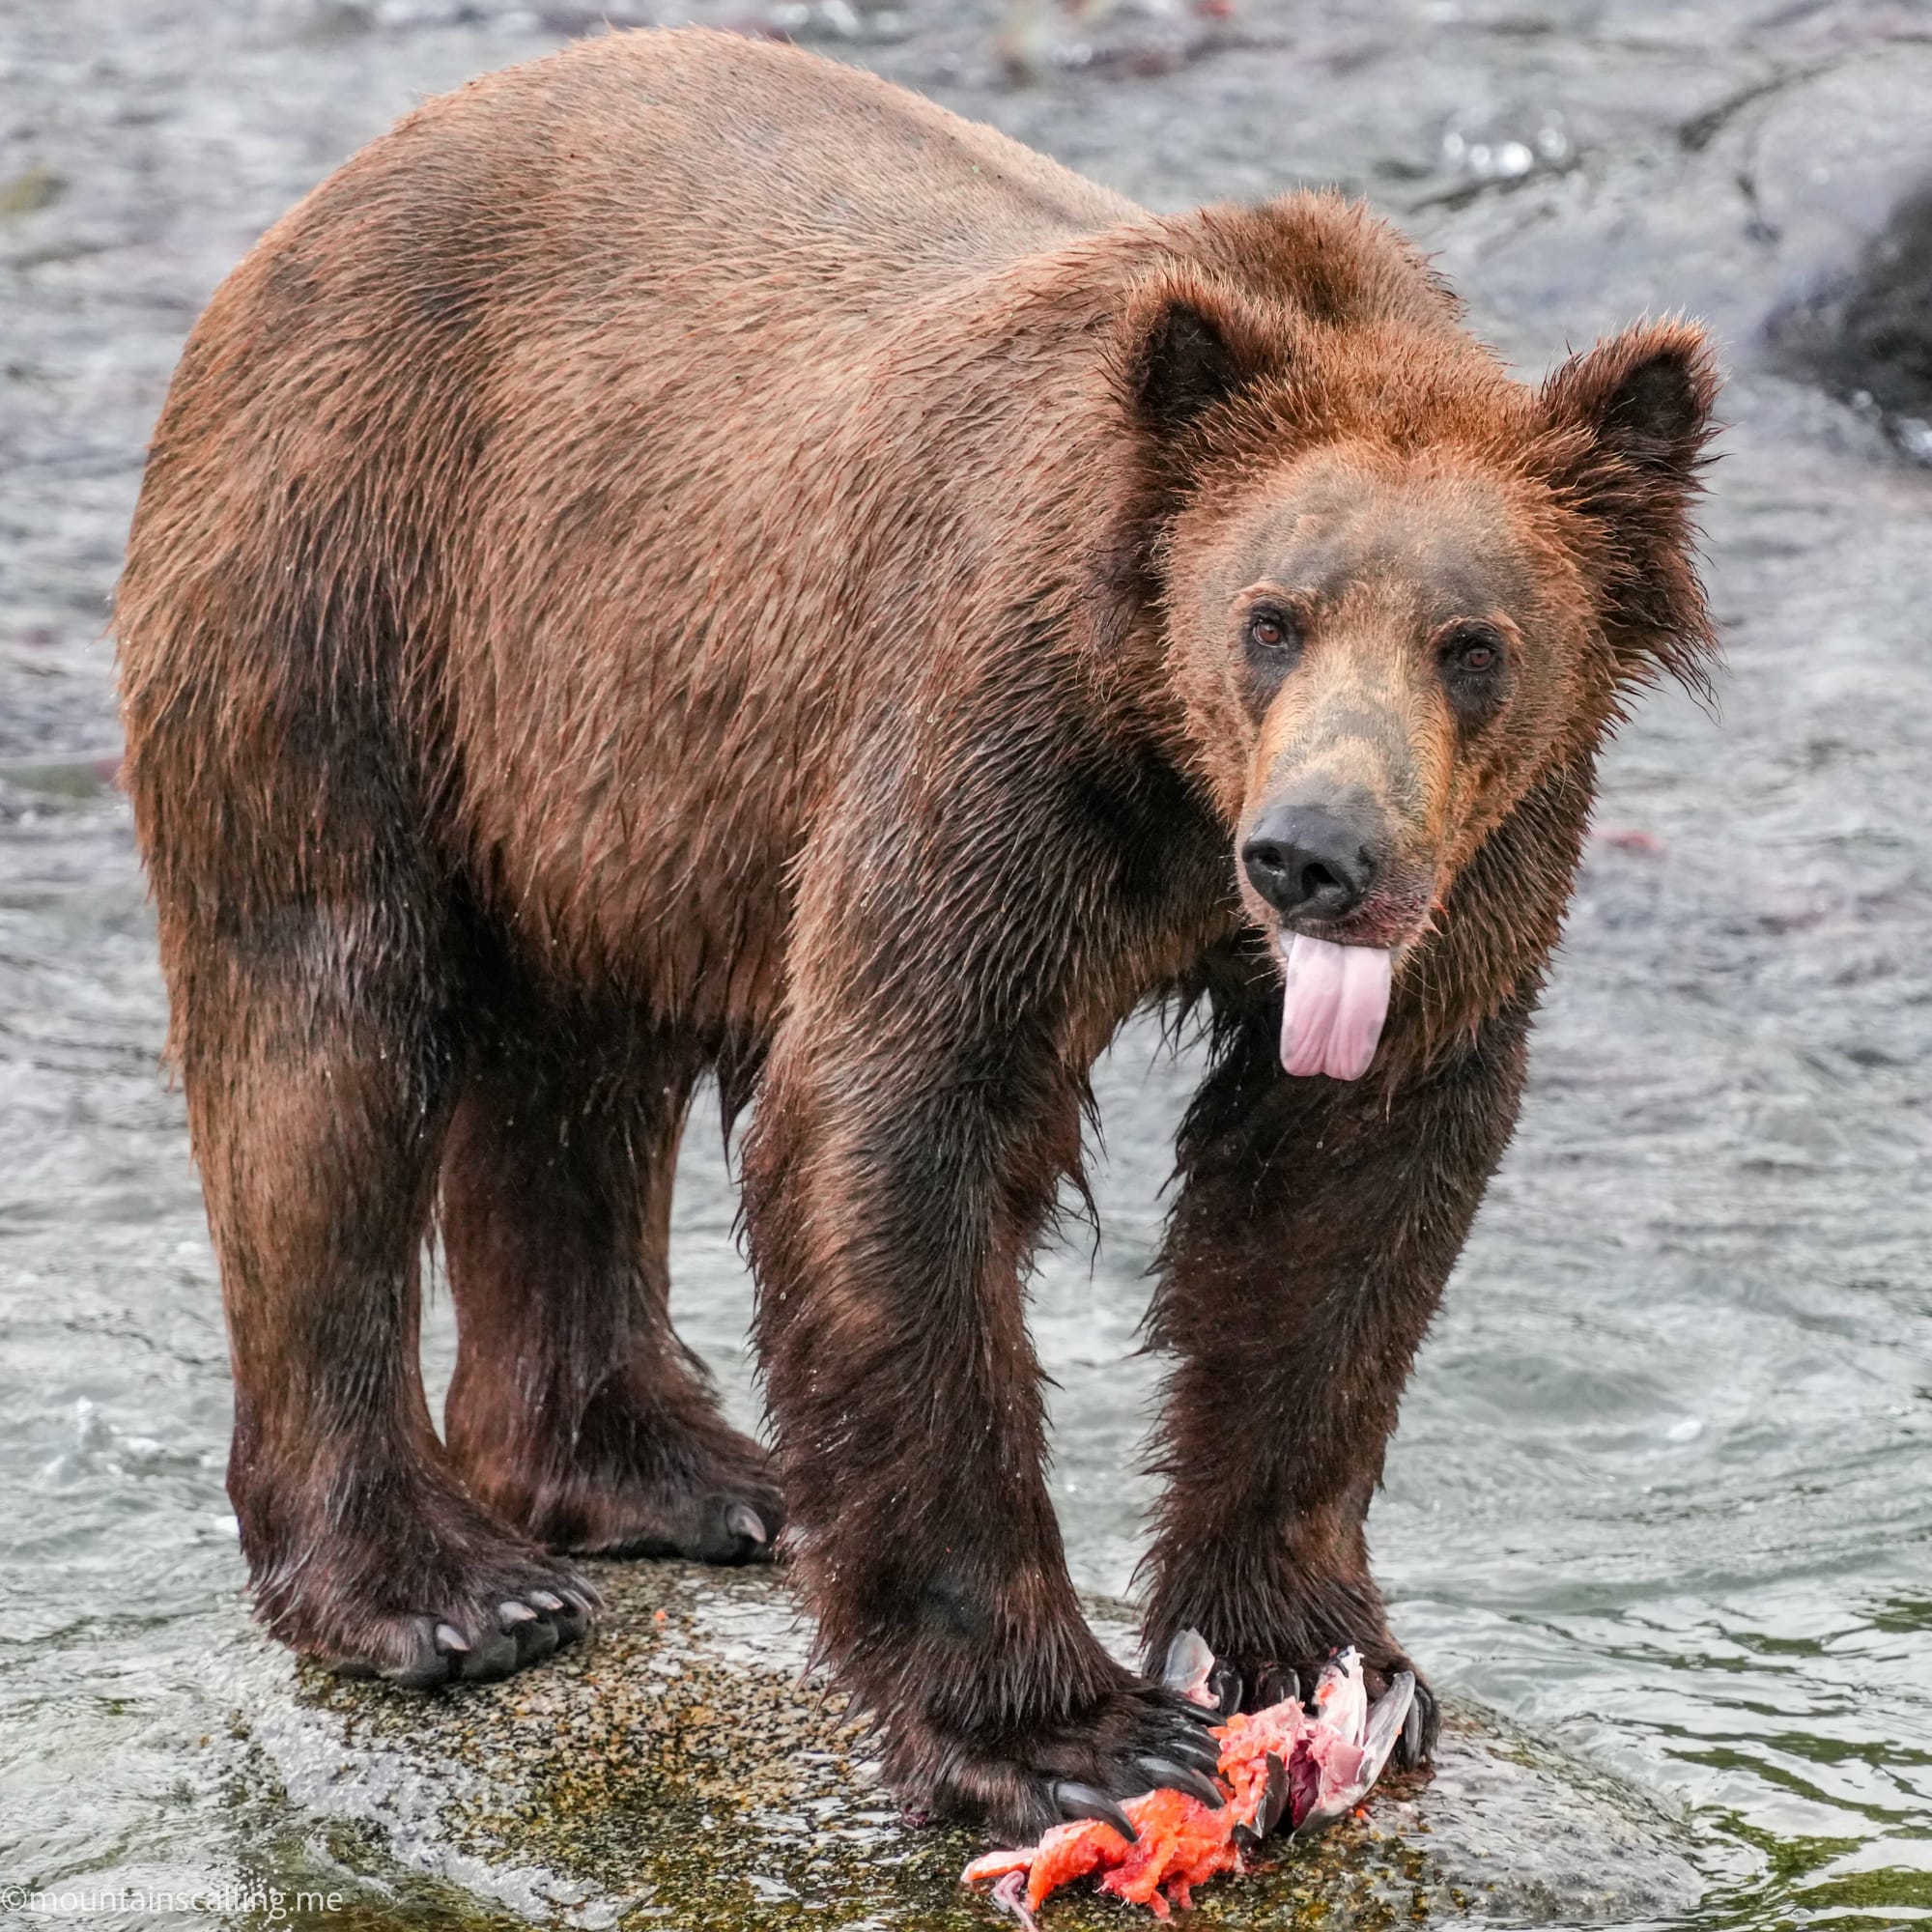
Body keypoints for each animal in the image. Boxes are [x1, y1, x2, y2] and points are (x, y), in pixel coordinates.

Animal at [115, 26, 1717, 1840]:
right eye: (1270, 617)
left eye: (1473, 642)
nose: (1316, 856)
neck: (1170, 781)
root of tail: (331, 191)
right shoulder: (998, 731)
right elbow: (896, 1115)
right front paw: (1072, 1736)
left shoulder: (1487, 863)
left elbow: (1344, 1190)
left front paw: (1321, 1654)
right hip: (355, 584)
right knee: (325, 1033)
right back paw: (446, 1589)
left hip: (607, 759)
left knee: (572, 1074)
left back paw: (664, 1473)